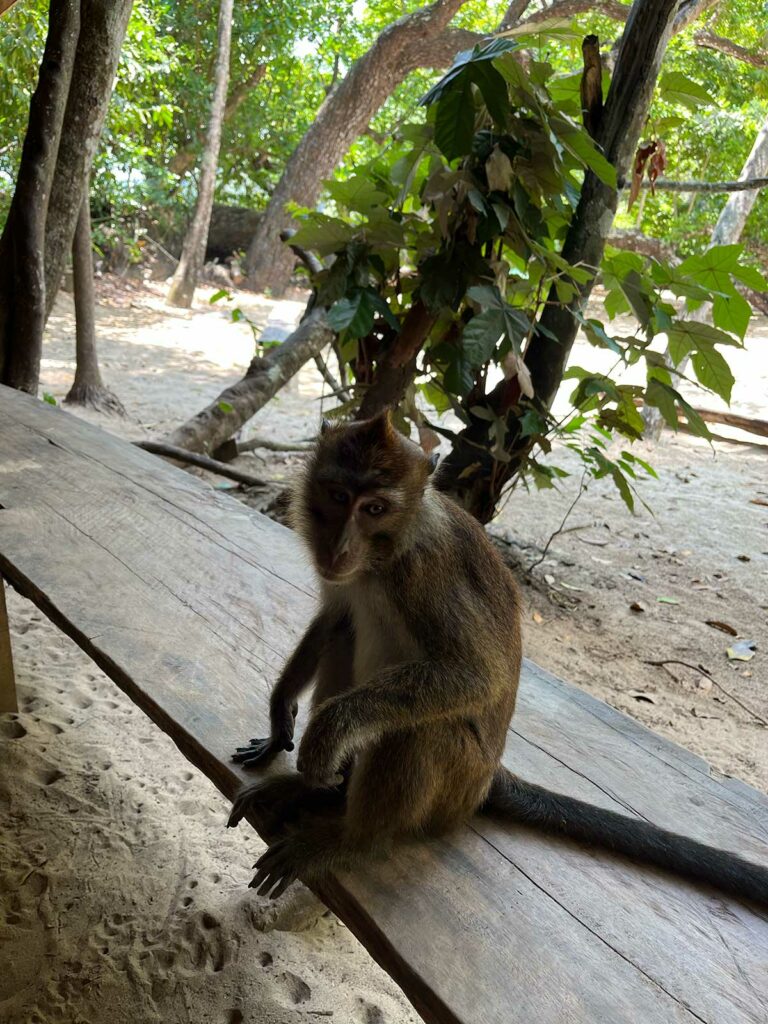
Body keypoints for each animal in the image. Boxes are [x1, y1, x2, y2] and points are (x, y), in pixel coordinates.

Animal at [228, 410, 768, 906]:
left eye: (375, 508)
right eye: (339, 497)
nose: (339, 548)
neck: (383, 559)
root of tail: (488, 779)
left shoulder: (426, 572)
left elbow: (476, 676)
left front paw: (328, 731)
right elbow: (335, 618)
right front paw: (281, 715)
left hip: (456, 784)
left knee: (420, 726)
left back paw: (353, 841)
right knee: (348, 639)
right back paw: (314, 792)